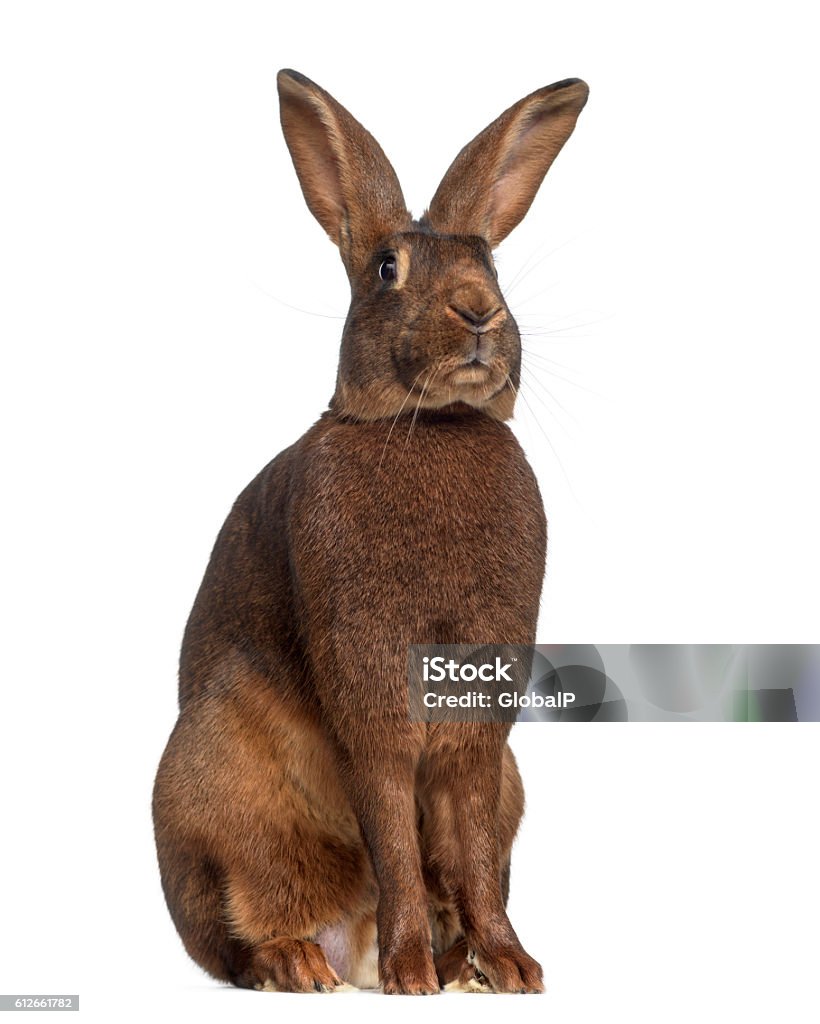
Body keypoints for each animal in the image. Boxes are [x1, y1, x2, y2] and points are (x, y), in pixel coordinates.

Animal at [151, 66, 589, 991]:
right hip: (214, 784)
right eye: (388, 268)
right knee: (236, 934)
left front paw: (511, 967)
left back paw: (454, 961)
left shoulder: (477, 735)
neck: (433, 424)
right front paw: (410, 975)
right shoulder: (374, 700)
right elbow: (391, 829)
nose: (478, 311)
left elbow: (465, 839)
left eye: (489, 262)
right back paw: (303, 964)